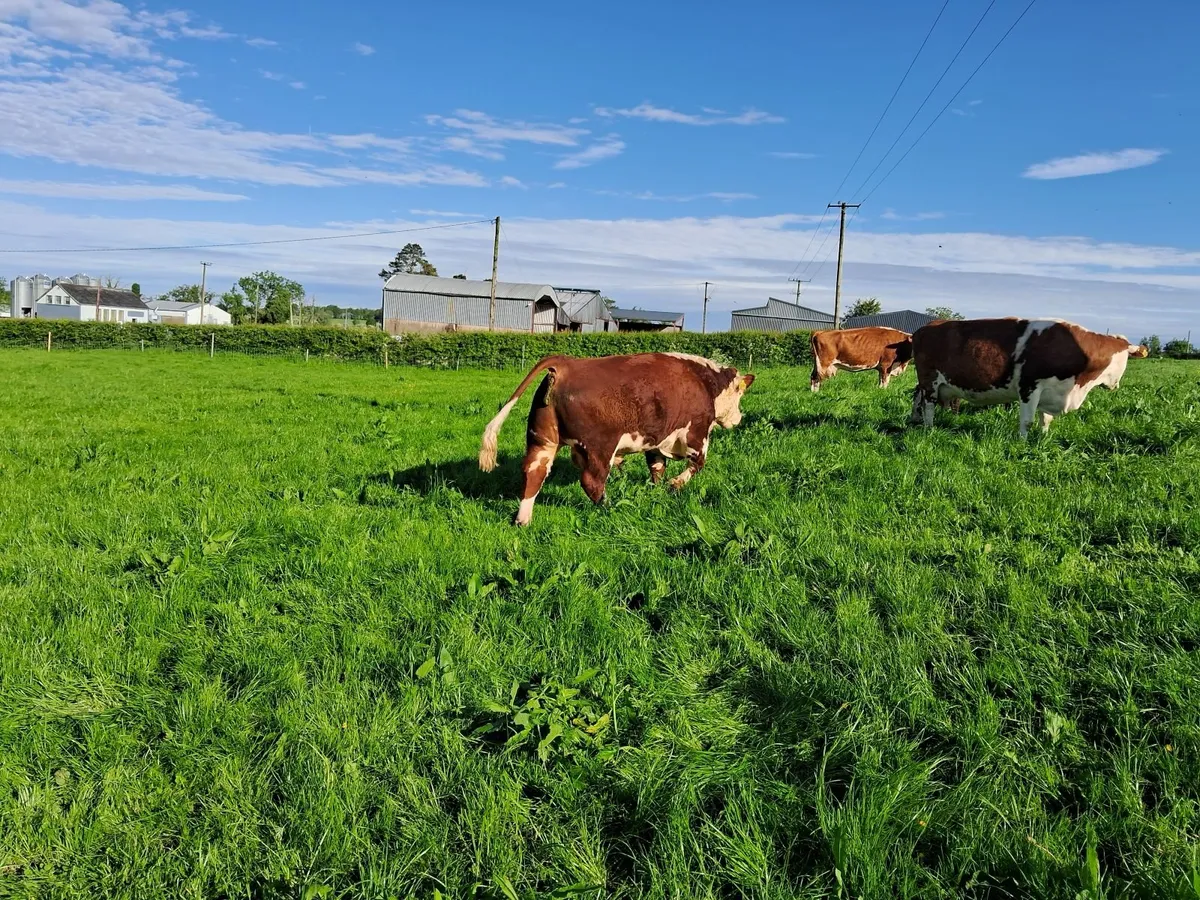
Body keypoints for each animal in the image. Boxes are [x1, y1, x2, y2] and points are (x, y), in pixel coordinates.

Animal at [478, 352, 756, 526]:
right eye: (740, 393)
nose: (739, 419)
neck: (703, 381)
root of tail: (567, 363)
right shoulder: (696, 433)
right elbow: (697, 464)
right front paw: (674, 485)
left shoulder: (655, 439)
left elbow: (656, 467)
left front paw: (656, 489)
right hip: (599, 447)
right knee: (592, 481)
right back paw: (609, 506)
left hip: (542, 440)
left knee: (534, 473)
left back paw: (523, 520)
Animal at [909, 317, 1149, 437]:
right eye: (1125, 359)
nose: (1115, 385)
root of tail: (926, 327)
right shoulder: (1029, 387)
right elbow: (1027, 421)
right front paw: (1022, 442)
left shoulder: (1051, 391)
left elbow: (1046, 419)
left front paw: (1043, 438)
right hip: (930, 380)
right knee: (928, 405)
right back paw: (929, 428)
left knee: (917, 398)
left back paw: (915, 419)